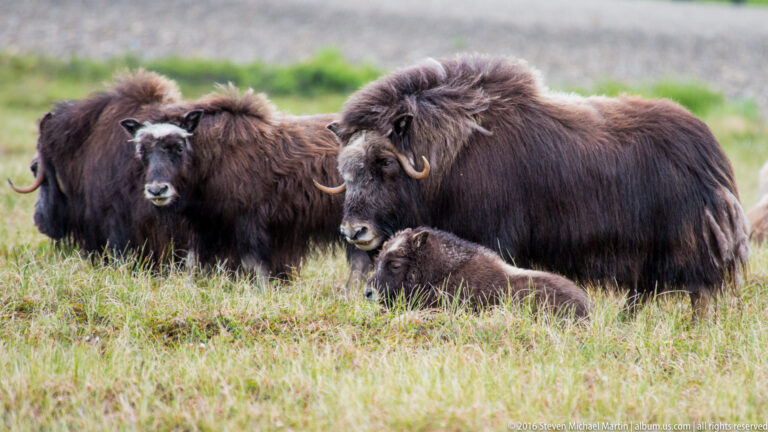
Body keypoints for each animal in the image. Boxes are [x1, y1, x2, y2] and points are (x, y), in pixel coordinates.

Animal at [119, 85, 371, 286]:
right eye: (142, 151)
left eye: (179, 148)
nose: (157, 190)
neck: (212, 159)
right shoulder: (209, 232)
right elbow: (201, 267)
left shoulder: (249, 226)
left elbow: (256, 266)